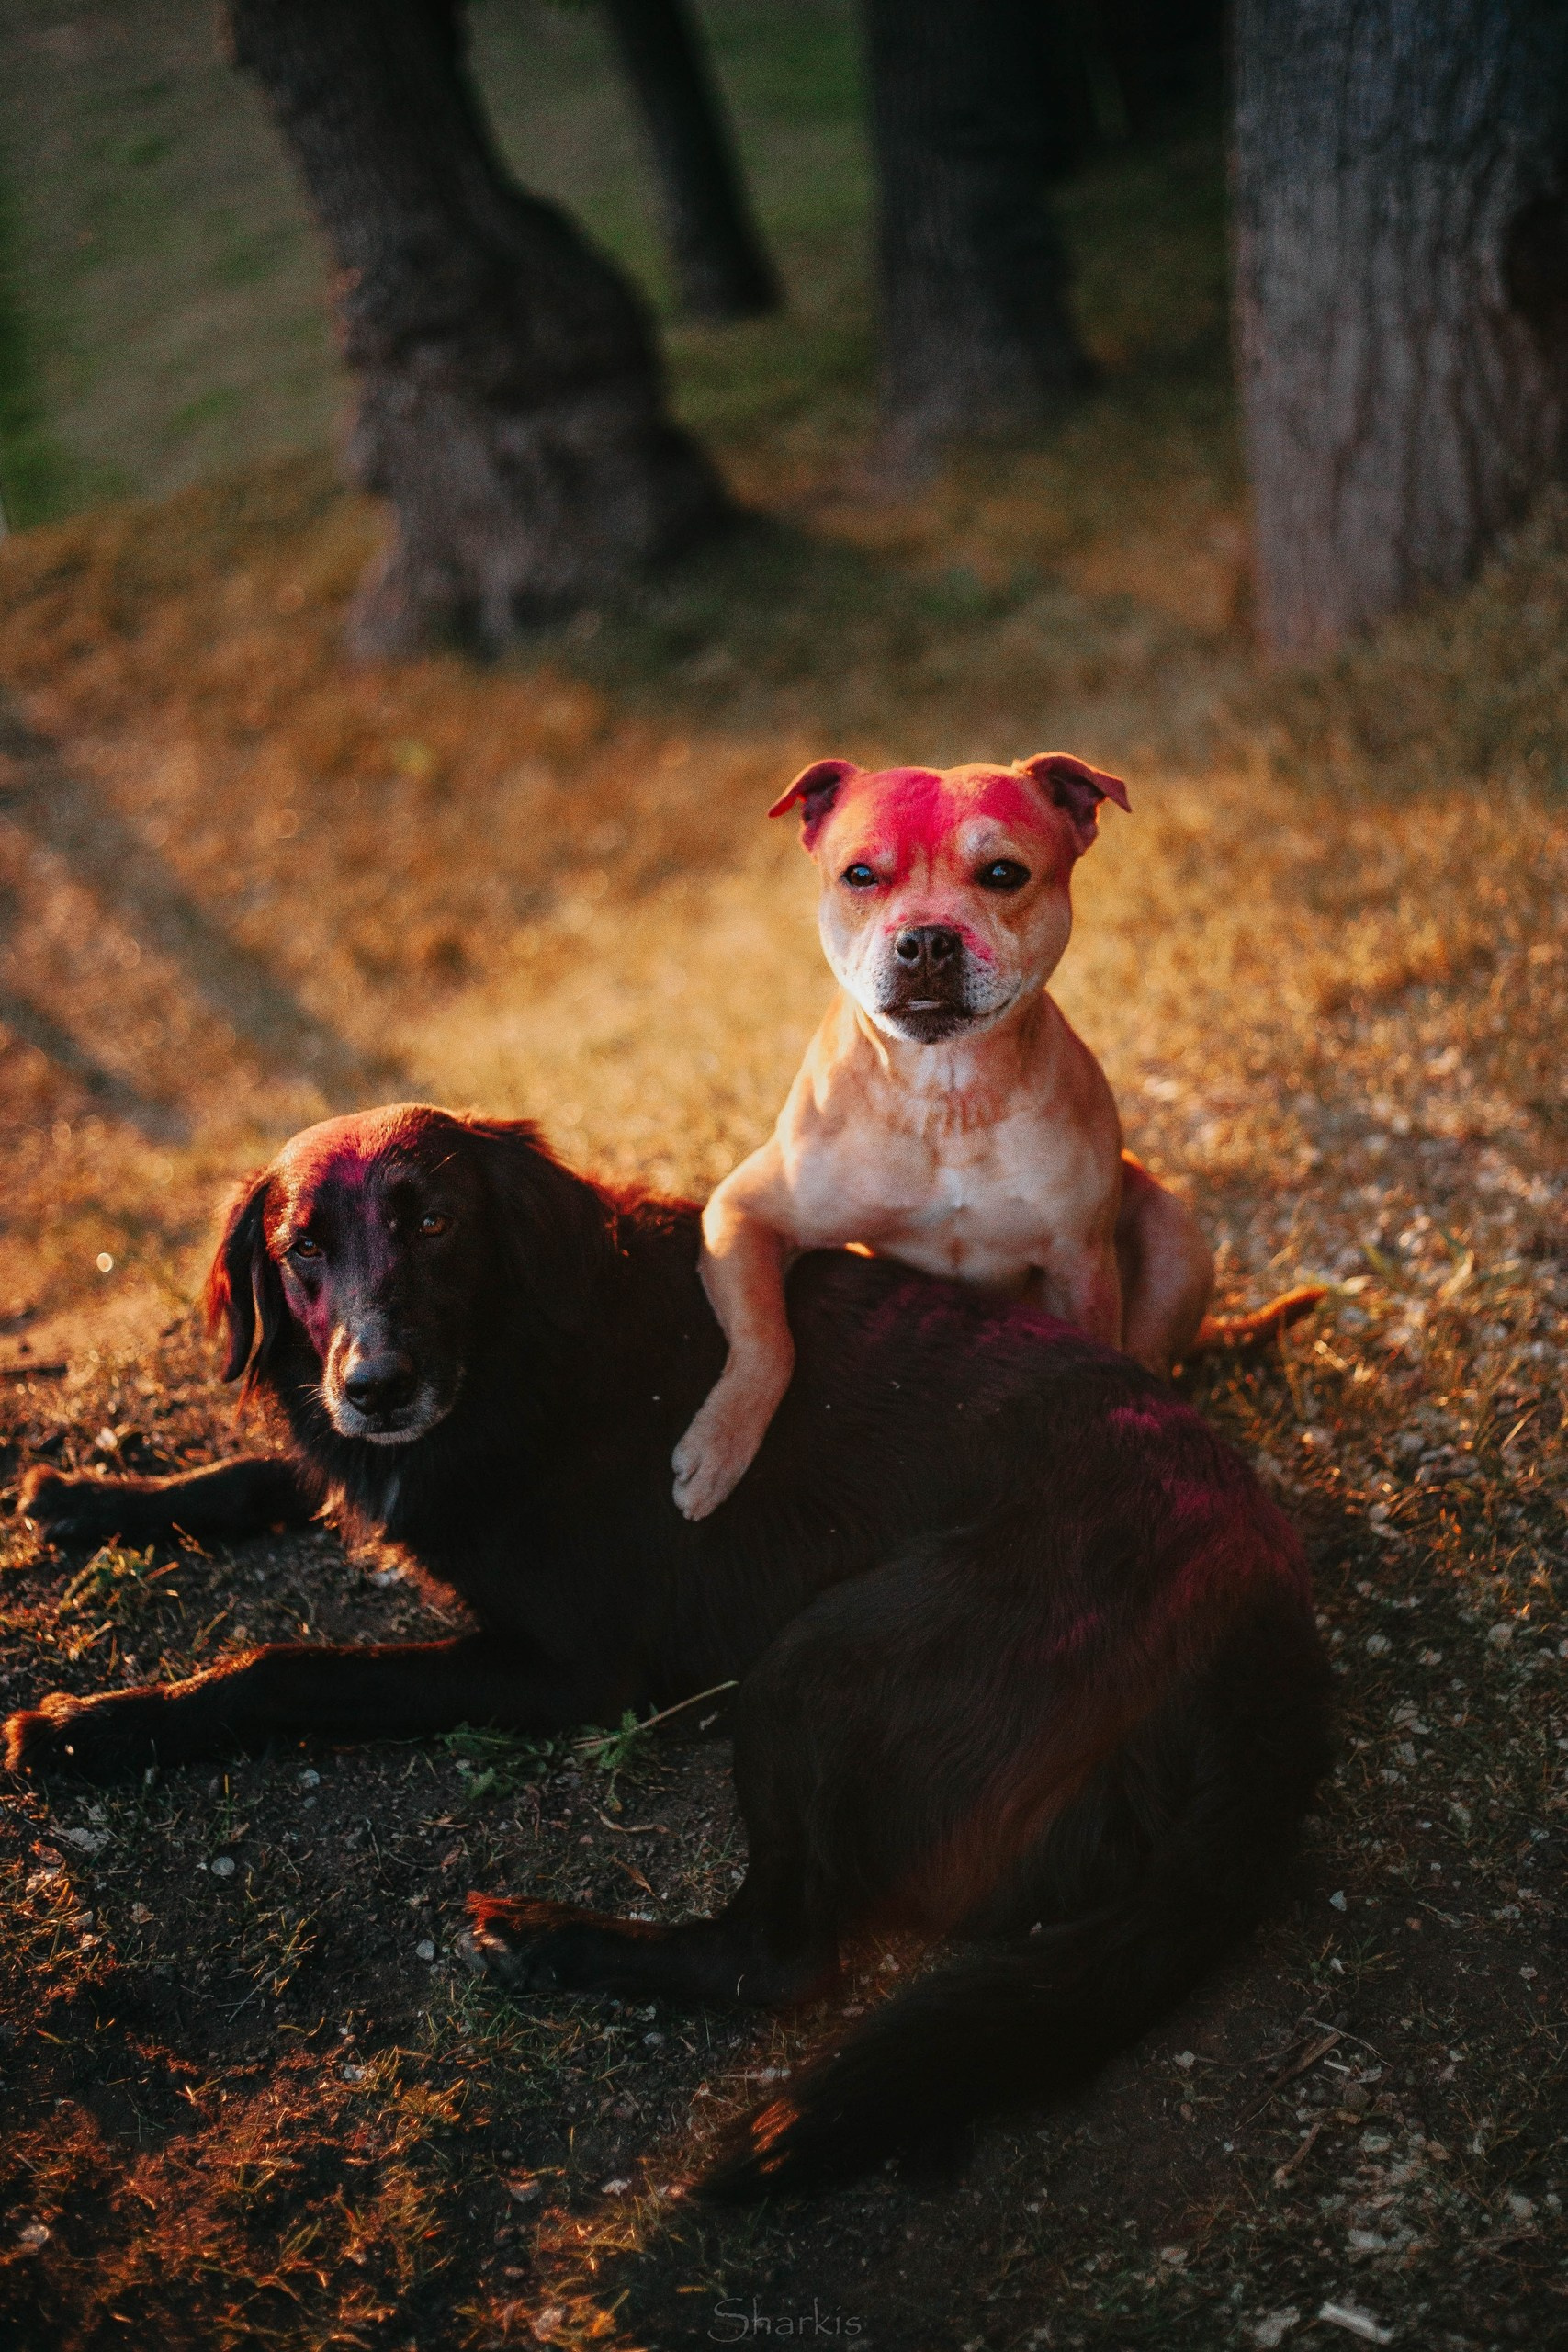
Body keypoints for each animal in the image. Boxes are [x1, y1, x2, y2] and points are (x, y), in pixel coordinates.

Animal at [6, 1105, 1330, 2197]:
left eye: (431, 1219)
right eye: (299, 1251)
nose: (377, 1383)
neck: (521, 1343)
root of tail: (1267, 1623)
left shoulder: (566, 1669)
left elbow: (295, 1666)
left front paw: (92, 1724)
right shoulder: (383, 1457)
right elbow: (255, 1472)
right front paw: (87, 1499)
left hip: (815, 1662)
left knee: (781, 1959)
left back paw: (550, 1938)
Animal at [674, 753, 1249, 1521]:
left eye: (1003, 873)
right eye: (860, 875)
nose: (924, 940)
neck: (944, 1095)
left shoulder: (1079, 1264)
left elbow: (1102, 1354)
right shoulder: (741, 1213)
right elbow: (767, 1340)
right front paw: (720, 1446)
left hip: (1172, 1230)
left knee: (1151, 1356)